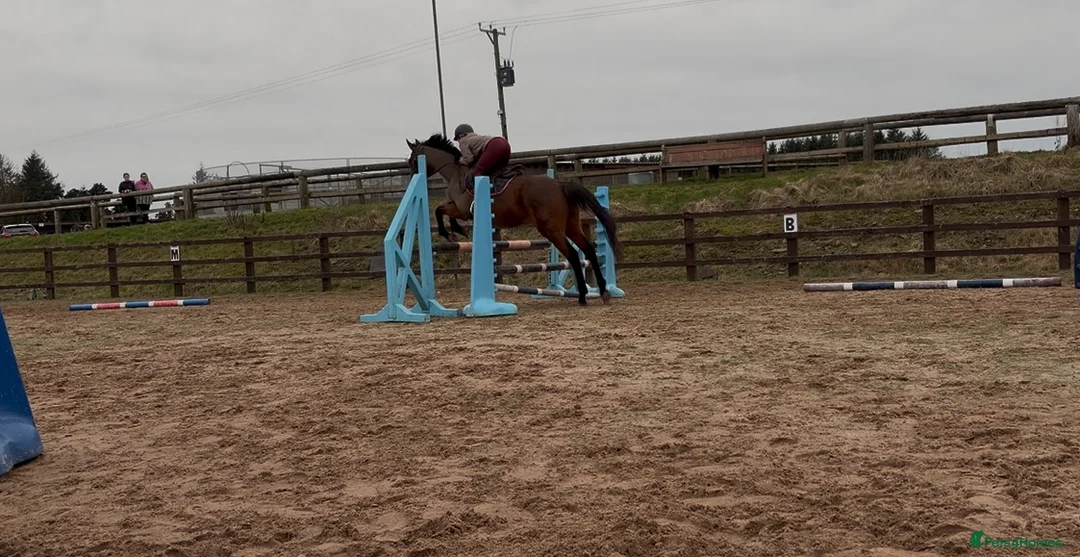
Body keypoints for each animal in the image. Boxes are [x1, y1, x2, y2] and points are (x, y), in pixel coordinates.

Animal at [405, 134, 623, 305]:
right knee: (589, 250)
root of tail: (560, 185)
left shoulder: (462, 210)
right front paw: (456, 231)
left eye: (412, 160)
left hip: (551, 229)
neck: (456, 173)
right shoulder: (459, 209)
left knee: (573, 255)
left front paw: (451, 232)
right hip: (571, 226)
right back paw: (603, 292)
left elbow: (439, 210)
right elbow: (442, 210)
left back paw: (583, 296)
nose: (412, 177)